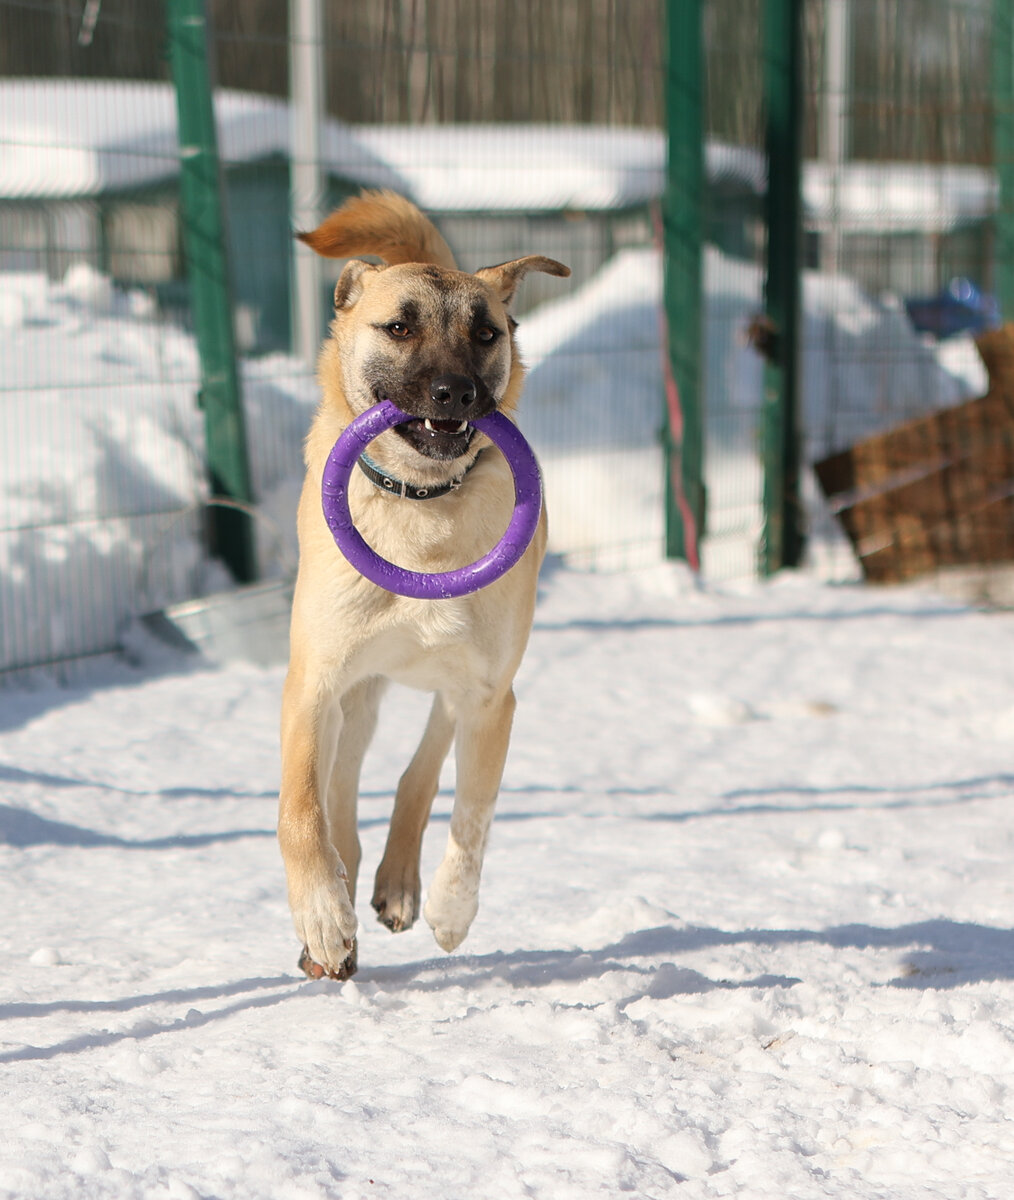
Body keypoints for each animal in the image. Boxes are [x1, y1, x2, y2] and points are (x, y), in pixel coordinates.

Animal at [277, 192, 568, 979]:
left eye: (485, 332)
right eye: (399, 326)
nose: (455, 392)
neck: (422, 510)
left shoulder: (491, 696)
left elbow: (471, 812)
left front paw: (451, 909)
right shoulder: (315, 682)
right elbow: (303, 810)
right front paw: (324, 918)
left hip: (453, 687)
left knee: (422, 769)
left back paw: (400, 884)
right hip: (356, 696)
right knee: (342, 792)